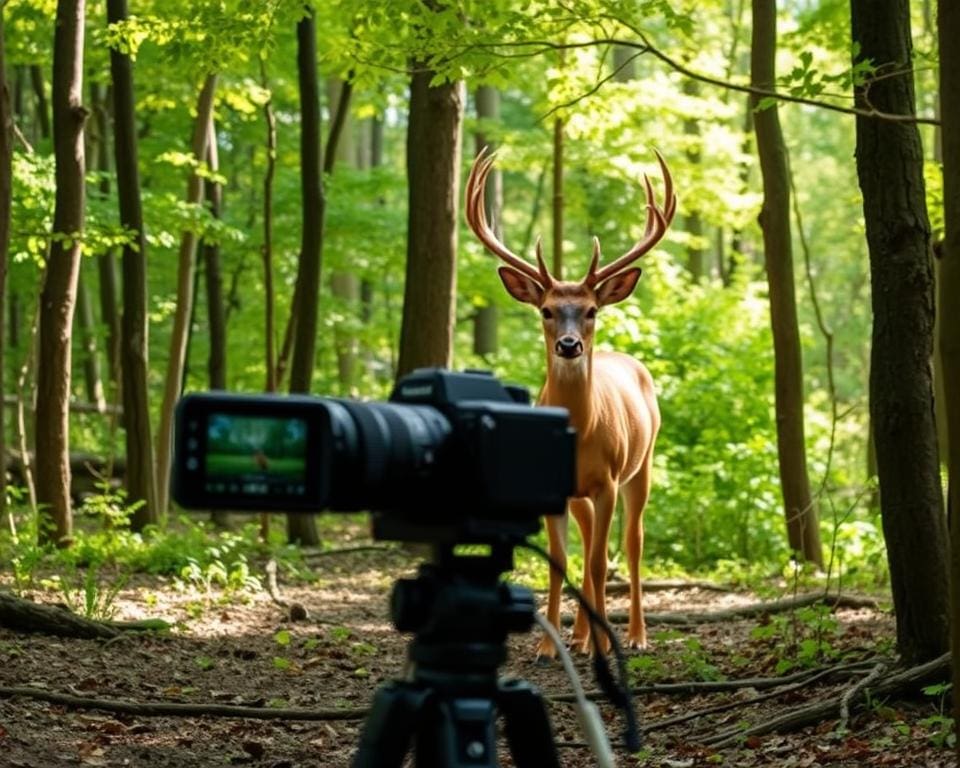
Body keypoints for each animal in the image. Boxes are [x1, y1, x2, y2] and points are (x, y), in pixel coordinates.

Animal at [464, 150, 676, 660]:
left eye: (592, 310)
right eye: (545, 310)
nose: (569, 345)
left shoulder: (609, 481)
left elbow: (600, 563)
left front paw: (603, 647)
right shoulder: (552, 486)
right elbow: (562, 562)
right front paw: (549, 647)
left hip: (642, 464)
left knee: (631, 543)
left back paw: (635, 635)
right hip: (581, 493)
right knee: (586, 543)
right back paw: (580, 636)